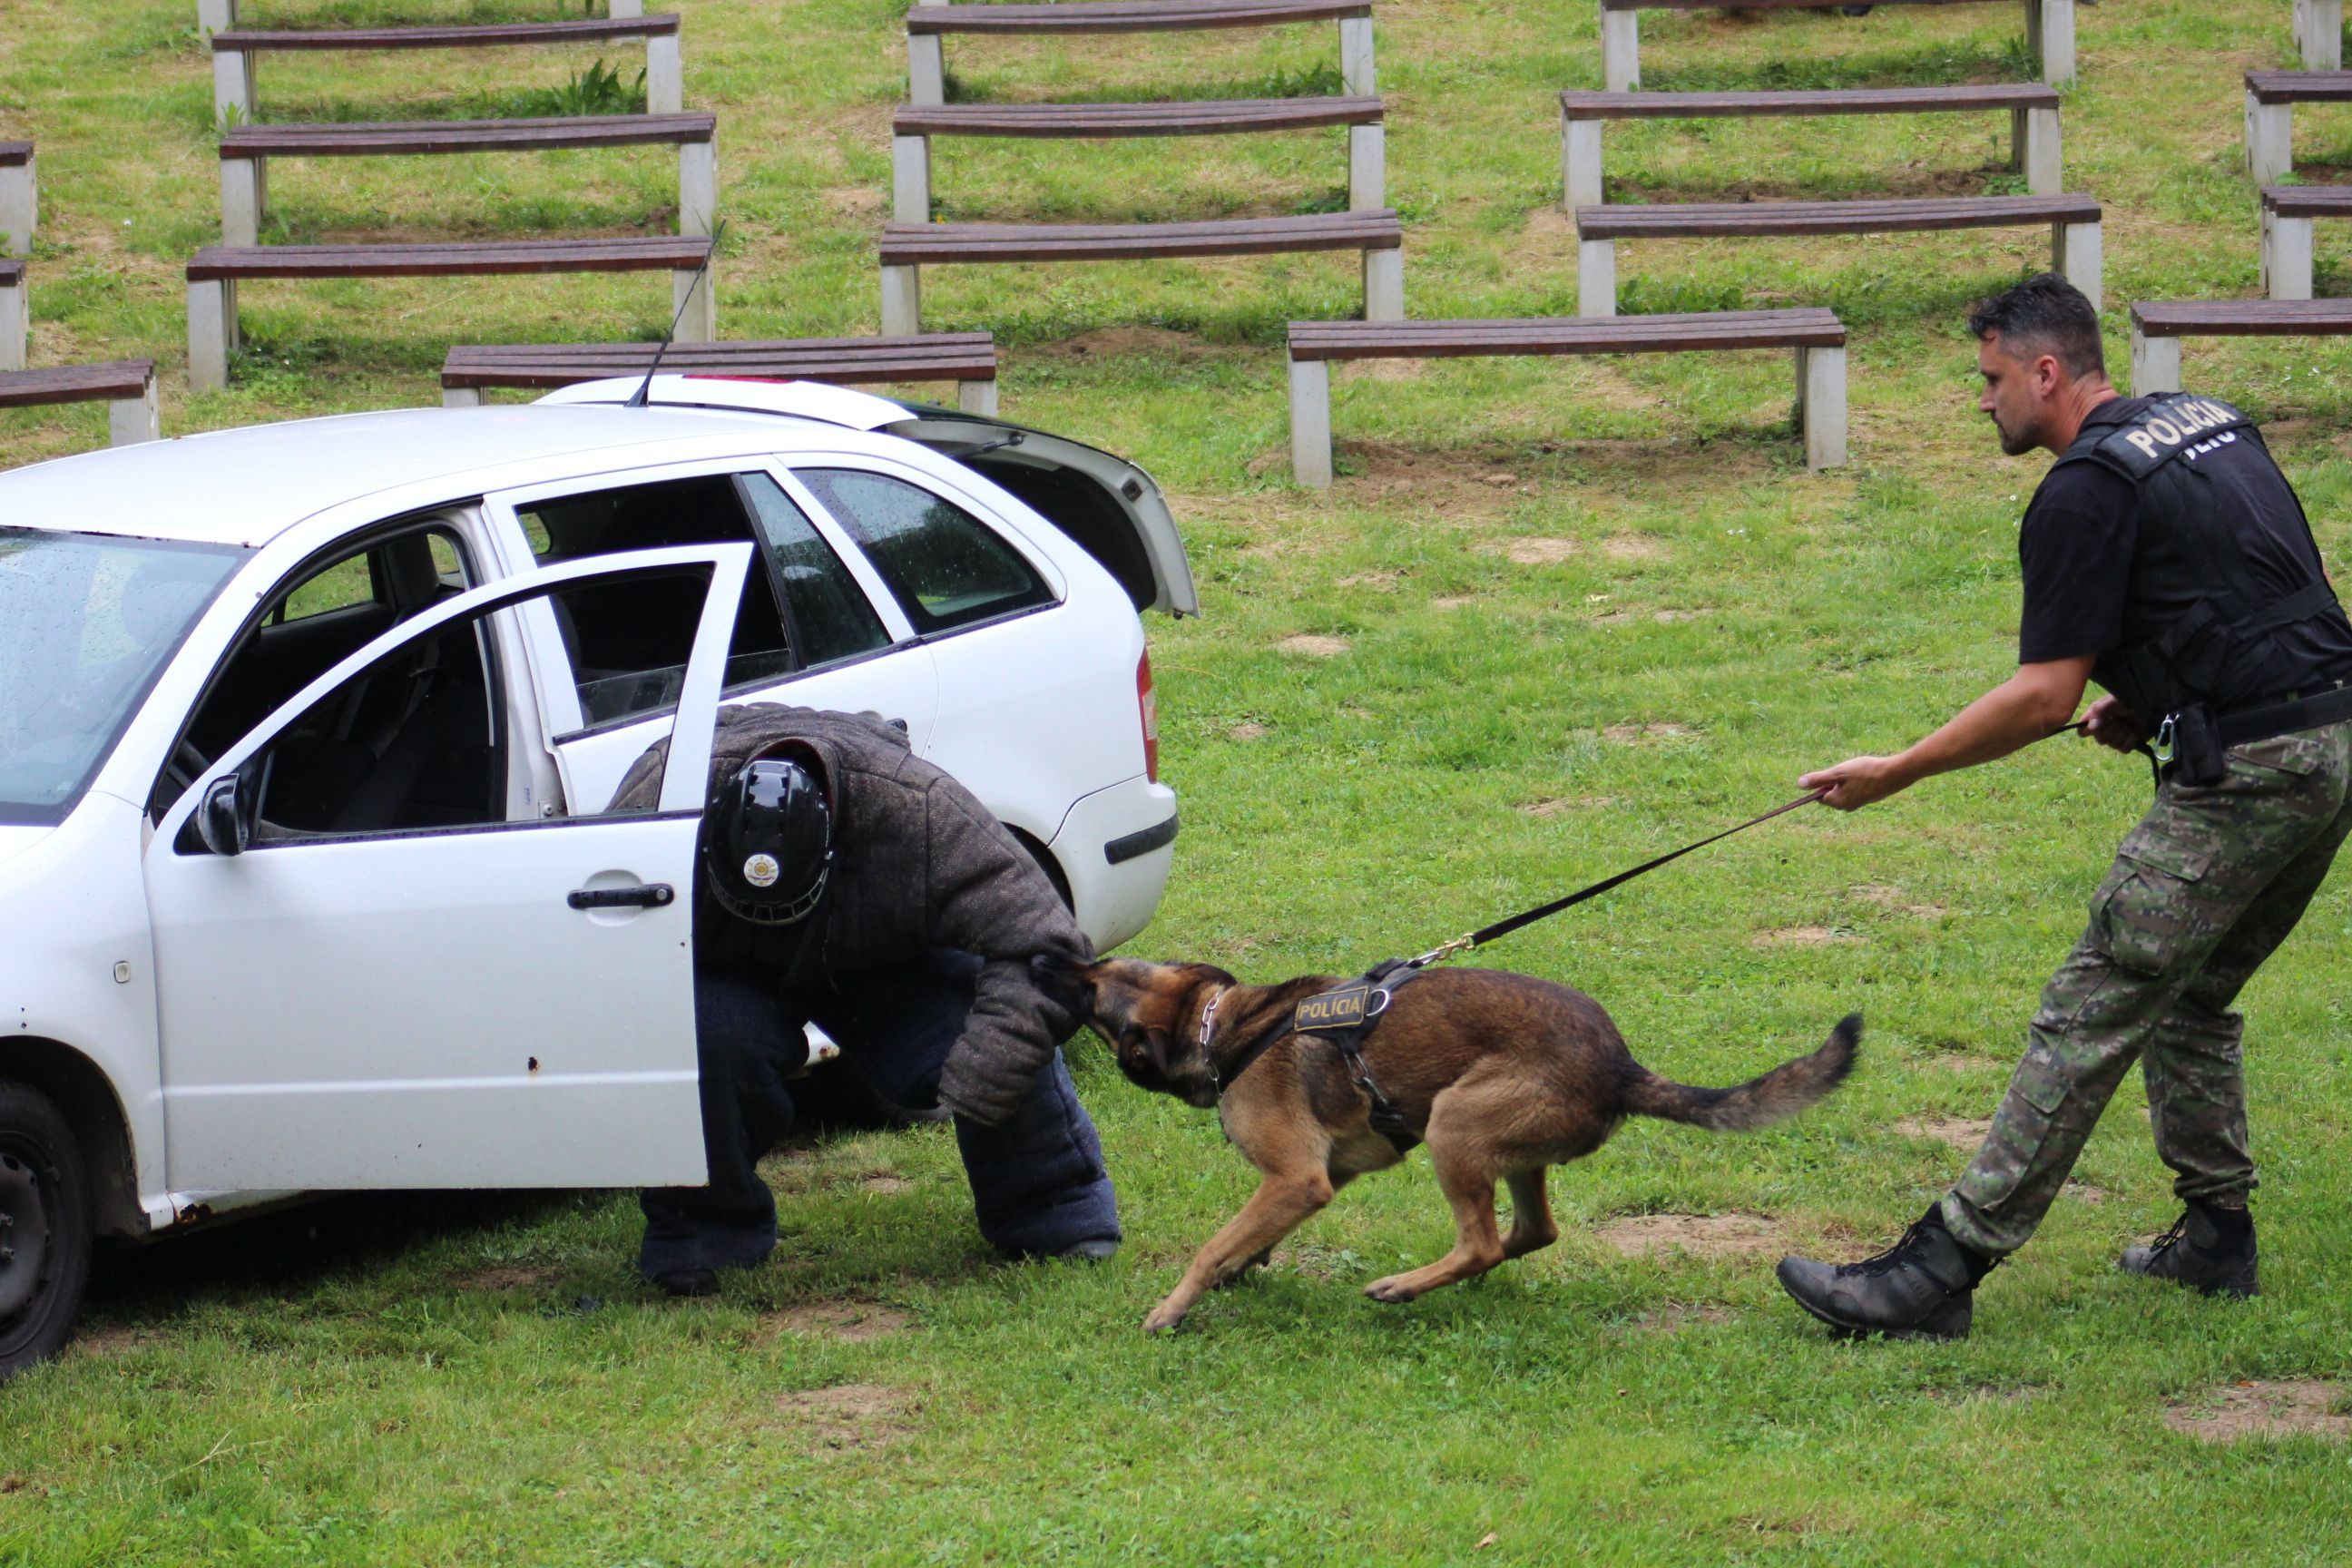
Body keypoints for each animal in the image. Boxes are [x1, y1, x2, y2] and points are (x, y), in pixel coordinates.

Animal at [1035, 954, 1858, 1332]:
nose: (1045, 958)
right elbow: (1248, 1237)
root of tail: (1622, 1068)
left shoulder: (1298, 1178)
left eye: (1090, 988)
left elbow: (1212, 1245)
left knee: (1484, 1242)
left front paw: (1173, 1309)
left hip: (1453, 1125)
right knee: (1530, 1232)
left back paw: (1401, 1287)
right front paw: (1244, 1265)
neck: (1220, 1028)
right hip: (1503, 1148)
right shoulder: (1315, 1180)